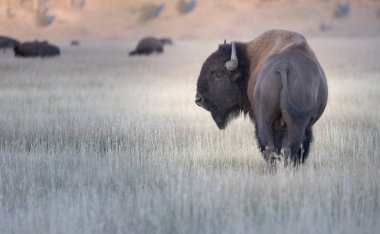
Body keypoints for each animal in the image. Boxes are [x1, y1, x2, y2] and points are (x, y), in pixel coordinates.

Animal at [194, 28, 328, 165]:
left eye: (219, 74)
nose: (199, 99)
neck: (248, 65)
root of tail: (284, 66)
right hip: (289, 123)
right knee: (285, 148)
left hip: (270, 121)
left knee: (275, 147)